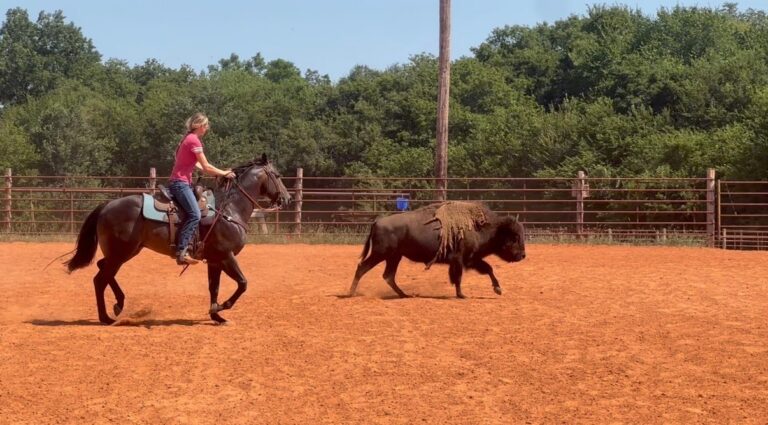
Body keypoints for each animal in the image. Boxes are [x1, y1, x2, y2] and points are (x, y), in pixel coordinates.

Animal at [348, 201, 526, 298]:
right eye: (515, 237)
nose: (523, 255)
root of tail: (377, 222)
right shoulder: (459, 260)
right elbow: (458, 277)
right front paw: (461, 295)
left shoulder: (472, 259)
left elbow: (488, 269)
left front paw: (498, 289)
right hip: (381, 254)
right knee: (362, 268)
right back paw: (350, 293)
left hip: (394, 257)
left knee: (388, 276)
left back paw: (404, 295)